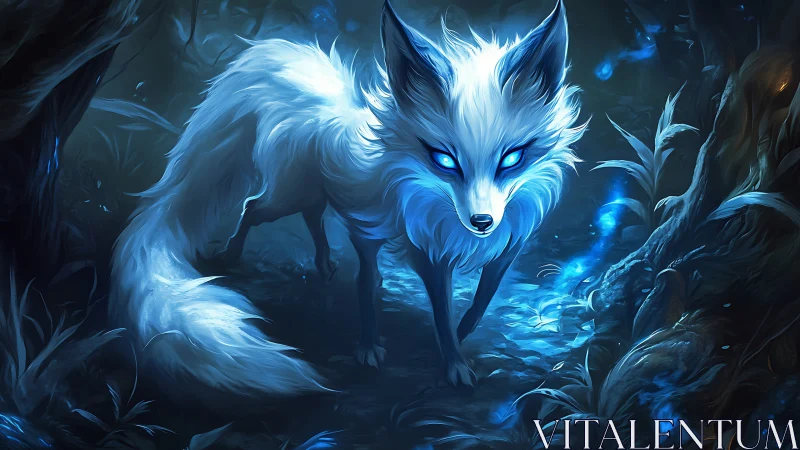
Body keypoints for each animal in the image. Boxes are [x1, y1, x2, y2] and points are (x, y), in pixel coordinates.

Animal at [109, 0, 585, 398]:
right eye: (445, 160)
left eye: (512, 158)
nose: (482, 221)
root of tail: (317, 111)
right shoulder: (426, 252)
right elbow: (441, 315)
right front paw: (453, 363)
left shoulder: (506, 248)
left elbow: (481, 299)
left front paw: (465, 333)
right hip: (288, 198)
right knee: (255, 209)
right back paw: (237, 259)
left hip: (321, 201)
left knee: (320, 224)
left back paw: (328, 267)